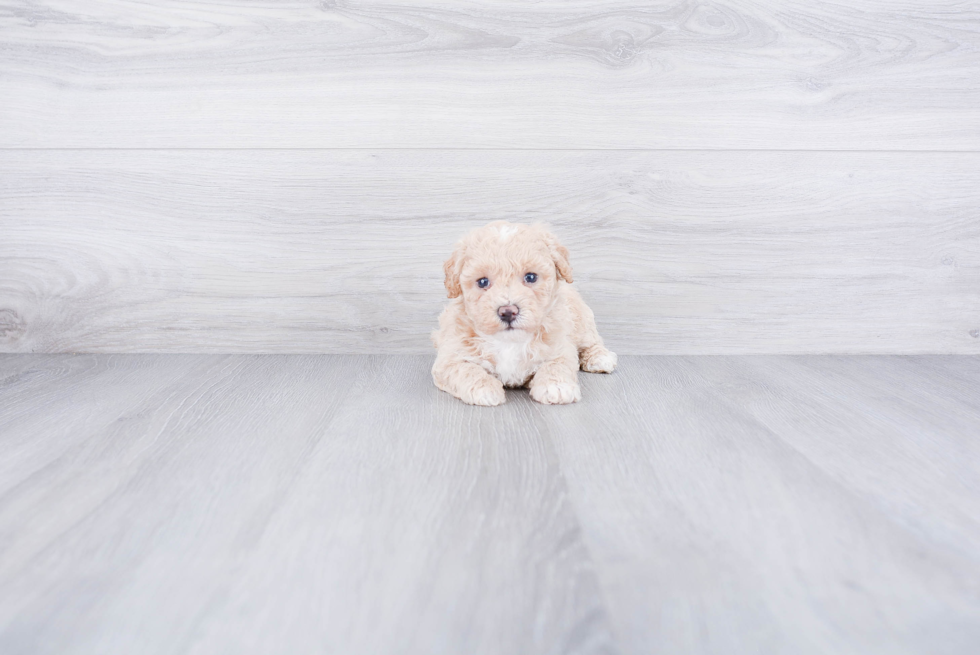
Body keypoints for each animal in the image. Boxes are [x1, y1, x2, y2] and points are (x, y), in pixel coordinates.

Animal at [428, 223, 612, 408]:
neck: (509, 342)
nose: (508, 312)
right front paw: (484, 389)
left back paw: (600, 357)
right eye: (482, 282)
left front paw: (556, 387)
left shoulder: (560, 347)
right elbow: (466, 369)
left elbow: (556, 364)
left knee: (592, 341)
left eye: (530, 277)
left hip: (581, 321)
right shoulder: (449, 357)